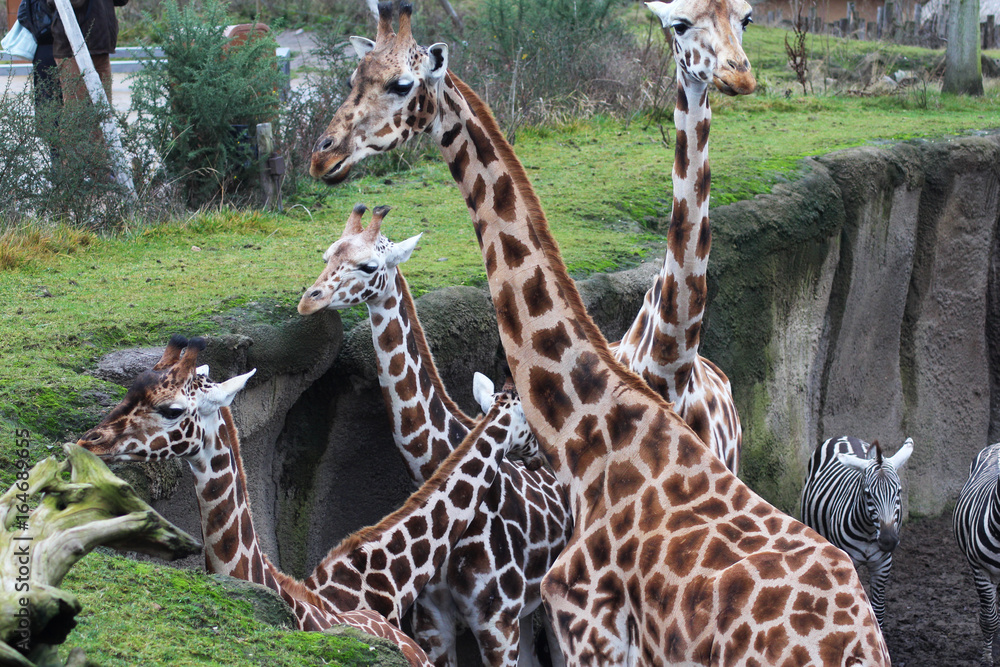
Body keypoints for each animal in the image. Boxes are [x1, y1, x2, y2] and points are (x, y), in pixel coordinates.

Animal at [297, 203, 572, 667]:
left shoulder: (495, 621)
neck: (429, 463)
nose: (307, 301)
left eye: (369, 265)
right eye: (326, 255)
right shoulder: (432, 621)